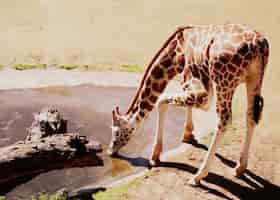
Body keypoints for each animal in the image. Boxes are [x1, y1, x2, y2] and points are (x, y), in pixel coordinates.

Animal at [107, 23, 270, 186]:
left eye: (116, 132)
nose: (110, 150)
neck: (176, 53)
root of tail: (258, 45)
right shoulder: (197, 84)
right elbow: (185, 105)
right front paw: (188, 135)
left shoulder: (198, 88)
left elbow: (161, 101)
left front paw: (155, 156)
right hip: (254, 78)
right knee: (251, 116)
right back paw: (240, 168)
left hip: (224, 80)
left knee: (224, 120)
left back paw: (198, 176)